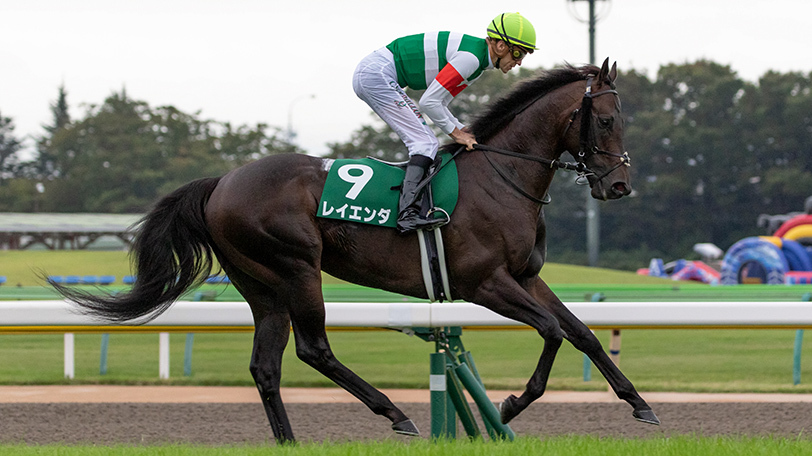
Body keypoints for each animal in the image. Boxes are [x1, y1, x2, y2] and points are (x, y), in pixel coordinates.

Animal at [54, 58, 659, 443]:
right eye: (607, 119)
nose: (618, 186)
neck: (501, 176)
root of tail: (221, 182)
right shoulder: (484, 282)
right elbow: (553, 331)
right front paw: (511, 404)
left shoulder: (526, 277)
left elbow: (581, 332)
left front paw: (640, 404)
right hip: (297, 268)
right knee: (313, 349)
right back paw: (395, 414)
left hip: (261, 286)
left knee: (265, 366)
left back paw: (291, 442)